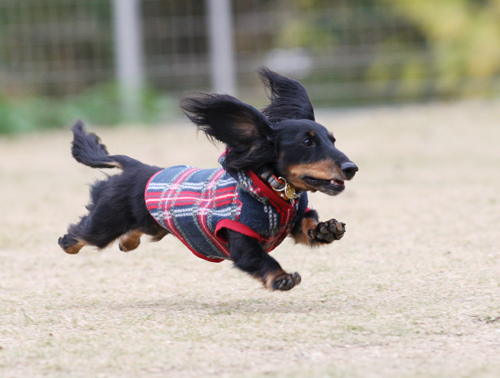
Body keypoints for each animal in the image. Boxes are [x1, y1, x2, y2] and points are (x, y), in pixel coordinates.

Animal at [58, 68, 358, 292]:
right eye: (307, 142)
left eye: (332, 140)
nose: (351, 168)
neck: (272, 192)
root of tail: (136, 166)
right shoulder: (240, 240)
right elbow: (261, 259)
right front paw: (281, 277)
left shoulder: (294, 217)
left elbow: (307, 222)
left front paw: (326, 229)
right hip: (104, 222)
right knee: (78, 235)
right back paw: (69, 244)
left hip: (152, 223)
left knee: (138, 230)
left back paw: (127, 242)